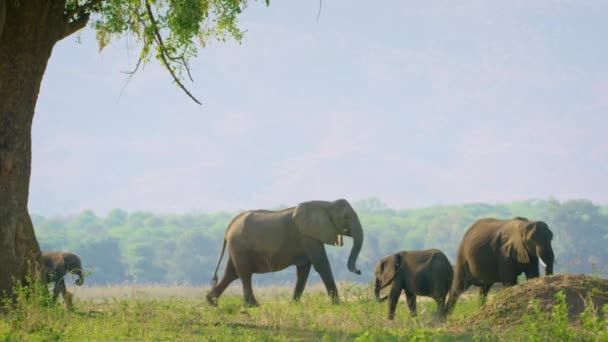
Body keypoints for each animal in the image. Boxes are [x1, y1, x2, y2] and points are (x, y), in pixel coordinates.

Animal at [207, 199, 364, 306]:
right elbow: (321, 263)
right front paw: (338, 304)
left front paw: (294, 304)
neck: (326, 204)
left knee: (232, 273)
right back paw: (253, 306)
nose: (359, 271)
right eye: (346, 217)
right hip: (240, 247)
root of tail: (228, 228)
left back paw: (212, 302)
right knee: (244, 274)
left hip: (236, 248)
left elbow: (304, 269)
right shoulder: (308, 235)